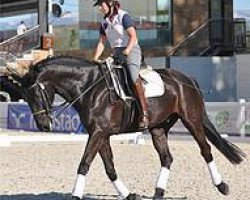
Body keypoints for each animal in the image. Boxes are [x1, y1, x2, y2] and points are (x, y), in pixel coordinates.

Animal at [10, 56, 246, 200]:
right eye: (26, 97)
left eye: (35, 94)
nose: (43, 126)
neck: (89, 87)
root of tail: (185, 78)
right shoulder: (101, 134)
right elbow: (109, 167)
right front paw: (128, 194)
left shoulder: (98, 133)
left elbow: (84, 163)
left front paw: (76, 195)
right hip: (158, 128)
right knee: (167, 158)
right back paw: (158, 192)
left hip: (192, 120)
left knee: (205, 150)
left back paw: (222, 186)